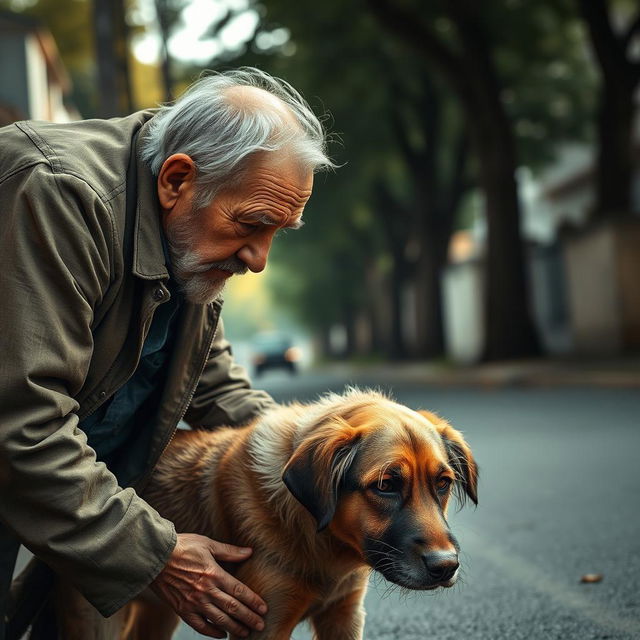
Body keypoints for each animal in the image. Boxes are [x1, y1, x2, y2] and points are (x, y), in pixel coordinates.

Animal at [119, 388, 476, 636]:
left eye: (442, 483)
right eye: (386, 484)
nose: (446, 567)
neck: (324, 546)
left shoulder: (343, 615)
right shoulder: (265, 623)